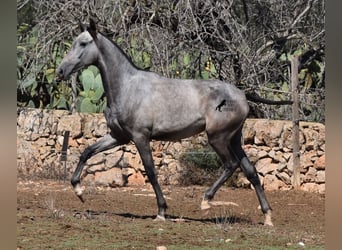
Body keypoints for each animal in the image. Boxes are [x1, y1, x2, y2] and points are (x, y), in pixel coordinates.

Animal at [56, 19, 276, 227]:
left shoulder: (140, 136)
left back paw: (206, 200)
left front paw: (161, 211)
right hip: (234, 139)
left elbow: (151, 171)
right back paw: (267, 217)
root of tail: (242, 95)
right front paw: (78, 190)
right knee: (250, 171)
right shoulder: (118, 136)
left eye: (83, 43)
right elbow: (87, 152)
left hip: (218, 138)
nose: (60, 71)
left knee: (231, 165)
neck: (128, 87)